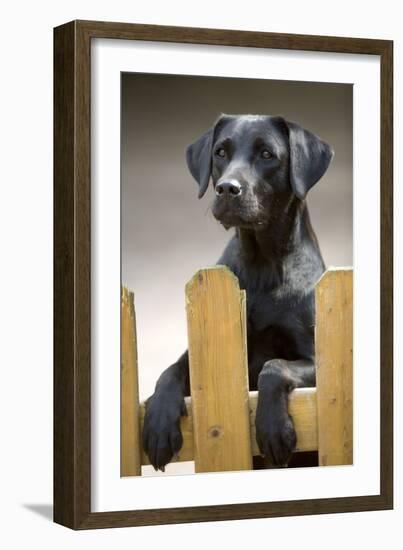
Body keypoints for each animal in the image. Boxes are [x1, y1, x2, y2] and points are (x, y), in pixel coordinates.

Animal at [143, 114, 334, 472]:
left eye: (267, 154)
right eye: (220, 152)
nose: (227, 188)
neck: (262, 265)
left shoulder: (317, 360)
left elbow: (274, 366)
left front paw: (273, 429)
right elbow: (169, 371)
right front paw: (159, 423)